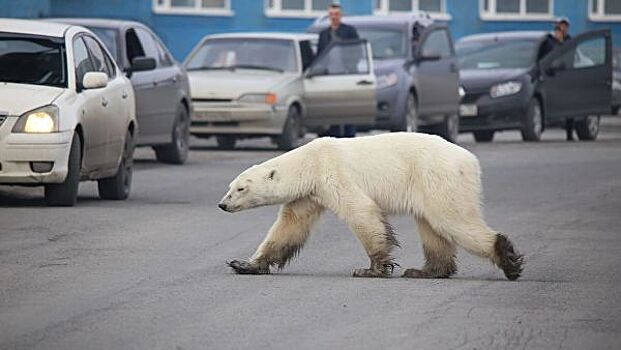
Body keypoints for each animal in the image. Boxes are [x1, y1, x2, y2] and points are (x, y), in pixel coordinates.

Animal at [218, 133, 524, 280]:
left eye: (241, 188)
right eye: (230, 186)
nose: (222, 204)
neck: (310, 162)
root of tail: (470, 160)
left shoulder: (334, 173)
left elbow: (361, 212)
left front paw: (372, 269)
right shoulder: (309, 195)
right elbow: (289, 227)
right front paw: (244, 264)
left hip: (437, 176)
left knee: (452, 219)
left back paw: (508, 259)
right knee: (432, 228)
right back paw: (425, 271)